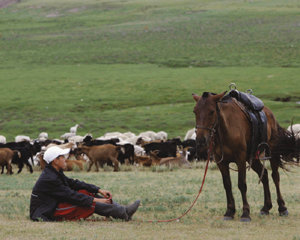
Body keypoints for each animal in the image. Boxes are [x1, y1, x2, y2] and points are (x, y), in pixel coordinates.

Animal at [192, 91, 298, 221]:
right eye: (195, 111)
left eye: (211, 111)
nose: (200, 140)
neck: (226, 131)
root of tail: (270, 114)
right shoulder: (221, 162)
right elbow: (227, 185)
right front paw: (229, 211)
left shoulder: (240, 159)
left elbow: (242, 184)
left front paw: (246, 213)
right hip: (253, 158)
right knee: (264, 175)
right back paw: (266, 207)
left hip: (272, 153)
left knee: (275, 176)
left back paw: (282, 208)